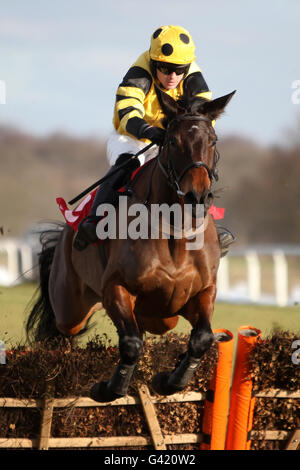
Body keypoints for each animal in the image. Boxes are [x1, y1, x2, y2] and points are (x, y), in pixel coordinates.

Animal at [26, 89, 234, 404]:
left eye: (212, 140)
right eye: (173, 141)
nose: (197, 197)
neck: (175, 230)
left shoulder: (202, 292)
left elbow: (202, 338)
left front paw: (168, 380)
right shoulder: (116, 288)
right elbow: (132, 343)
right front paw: (107, 388)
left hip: (162, 318)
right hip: (69, 309)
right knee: (61, 332)